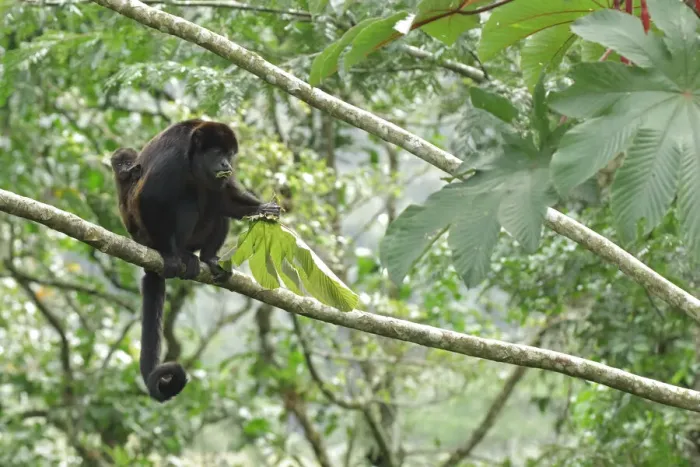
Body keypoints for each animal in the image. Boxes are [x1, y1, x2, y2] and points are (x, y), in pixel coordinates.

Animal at [110, 120, 280, 403]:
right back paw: (178, 254)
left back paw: (209, 258)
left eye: (229, 154)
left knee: (215, 202)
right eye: (216, 153)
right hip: (149, 233)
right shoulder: (173, 158)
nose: (226, 164)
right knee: (186, 201)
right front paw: (168, 255)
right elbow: (151, 197)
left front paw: (263, 209)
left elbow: (226, 198)